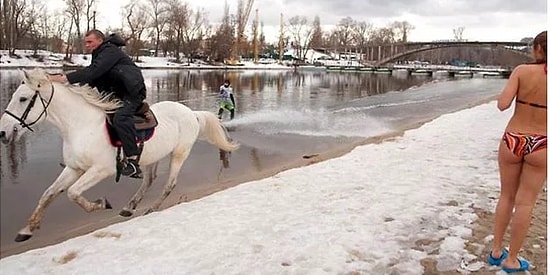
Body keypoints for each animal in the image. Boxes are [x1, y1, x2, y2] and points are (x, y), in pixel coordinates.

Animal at [1, 68, 240, 242]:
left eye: (23, 99)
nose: (3, 132)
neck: (81, 126)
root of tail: (192, 113)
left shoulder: (100, 170)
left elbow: (73, 193)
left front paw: (101, 204)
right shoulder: (74, 168)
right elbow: (49, 194)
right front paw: (27, 229)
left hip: (179, 153)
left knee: (169, 184)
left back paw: (151, 209)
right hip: (153, 157)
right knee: (149, 180)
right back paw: (129, 207)